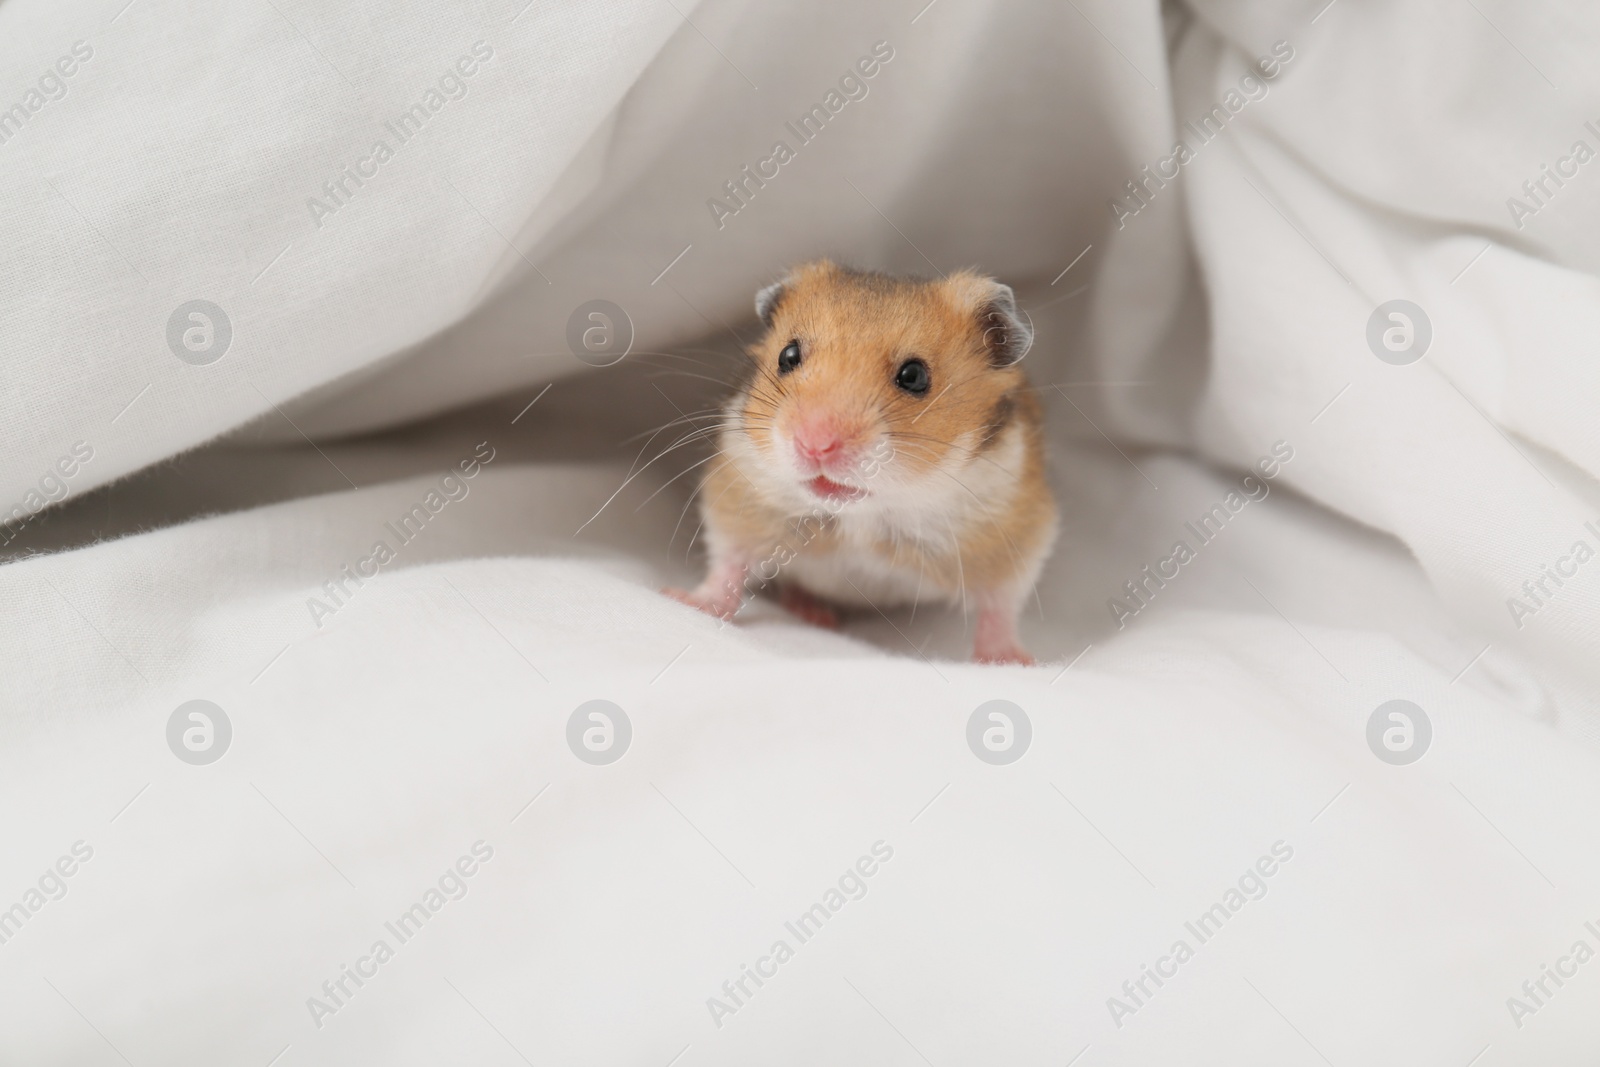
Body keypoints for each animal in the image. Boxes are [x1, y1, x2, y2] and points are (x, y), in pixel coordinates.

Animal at [665, 260, 1056, 659]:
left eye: (914, 376)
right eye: (788, 356)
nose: (815, 445)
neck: (864, 515)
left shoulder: (1018, 534)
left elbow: (1000, 605)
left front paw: (1011, 661)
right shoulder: (737, 497)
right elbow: (729, 564)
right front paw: (683, 600)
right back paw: (815, 615)